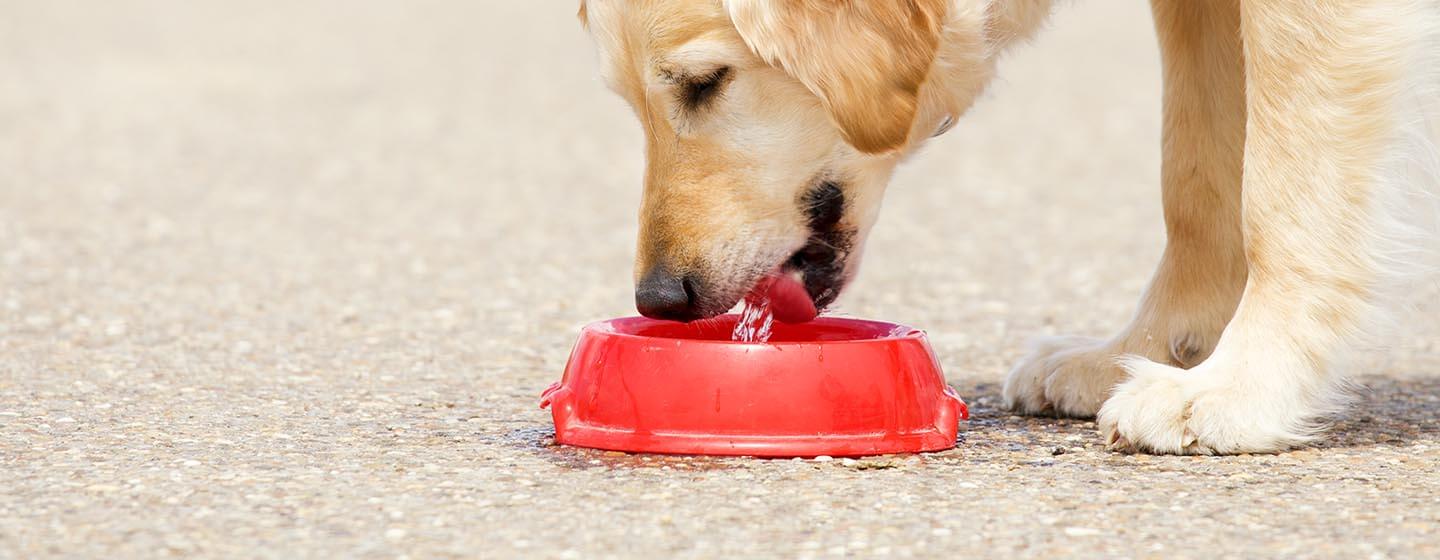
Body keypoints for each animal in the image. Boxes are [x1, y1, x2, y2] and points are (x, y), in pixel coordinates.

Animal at [573, 0, 1440, 454]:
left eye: (704, 82)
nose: (660, 300)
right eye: (627, 100)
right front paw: (1150, 352)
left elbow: (1280, 194)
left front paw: (1243, 386)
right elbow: (1194, 174)